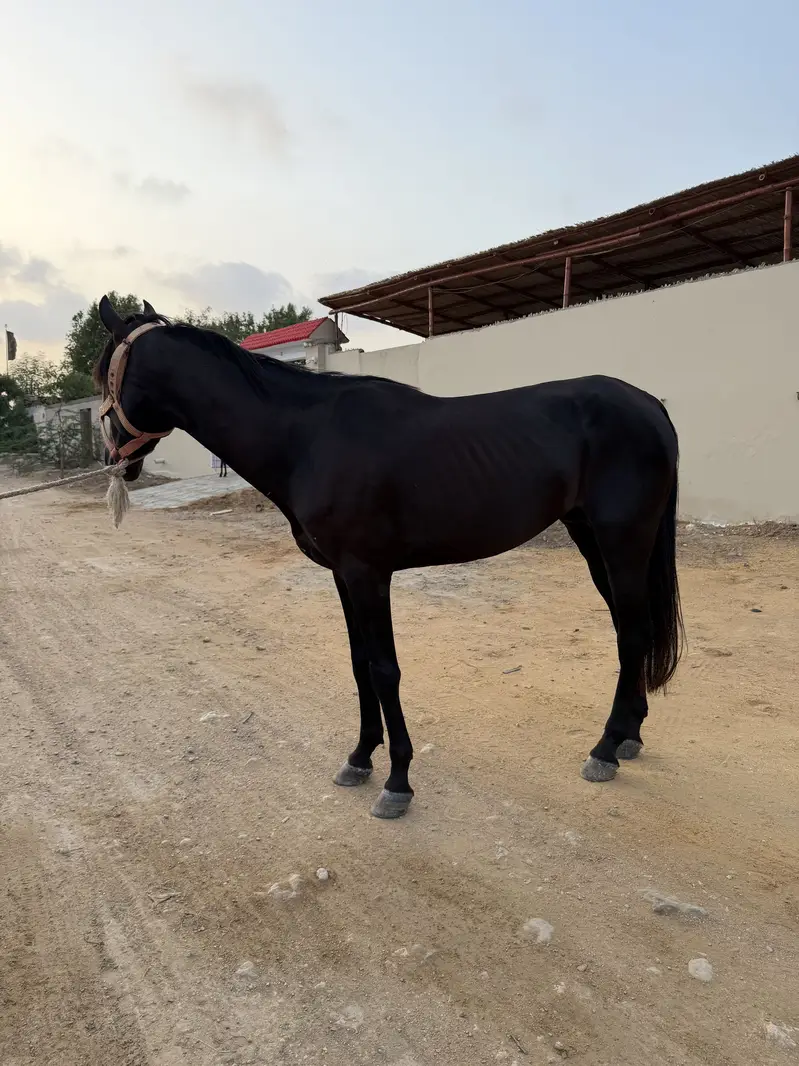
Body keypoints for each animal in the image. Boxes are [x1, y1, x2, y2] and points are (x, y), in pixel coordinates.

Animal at [95, 295, 683, 819]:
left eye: (105, 376)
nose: (113, 458)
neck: (308, 438)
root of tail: (649, 403)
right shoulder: (342, 576)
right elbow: (359, 665)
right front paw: (359, 759)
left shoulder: (368, 574)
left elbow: (384, 669)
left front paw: (398, 781)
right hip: (593, 540)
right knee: (633, 628)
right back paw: (628, 736)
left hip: (622, 540)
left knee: (633, 632)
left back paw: (605, 749)